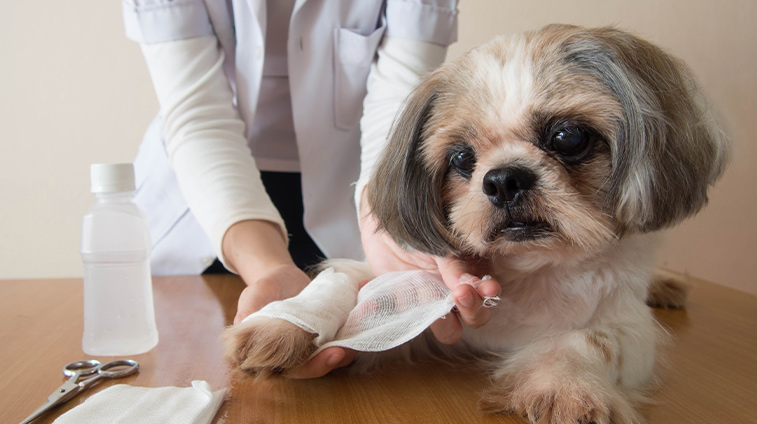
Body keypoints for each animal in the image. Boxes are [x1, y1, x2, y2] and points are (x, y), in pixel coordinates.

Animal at [223, 24, 728, 422]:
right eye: (462, 158)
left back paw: (667, 285)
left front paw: (566, 389)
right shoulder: (410, 276)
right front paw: (284, 325)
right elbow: (345, 283)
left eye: (568, 137)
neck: (529, 271)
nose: (503, 179)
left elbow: (591, 341)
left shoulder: (627, 325)